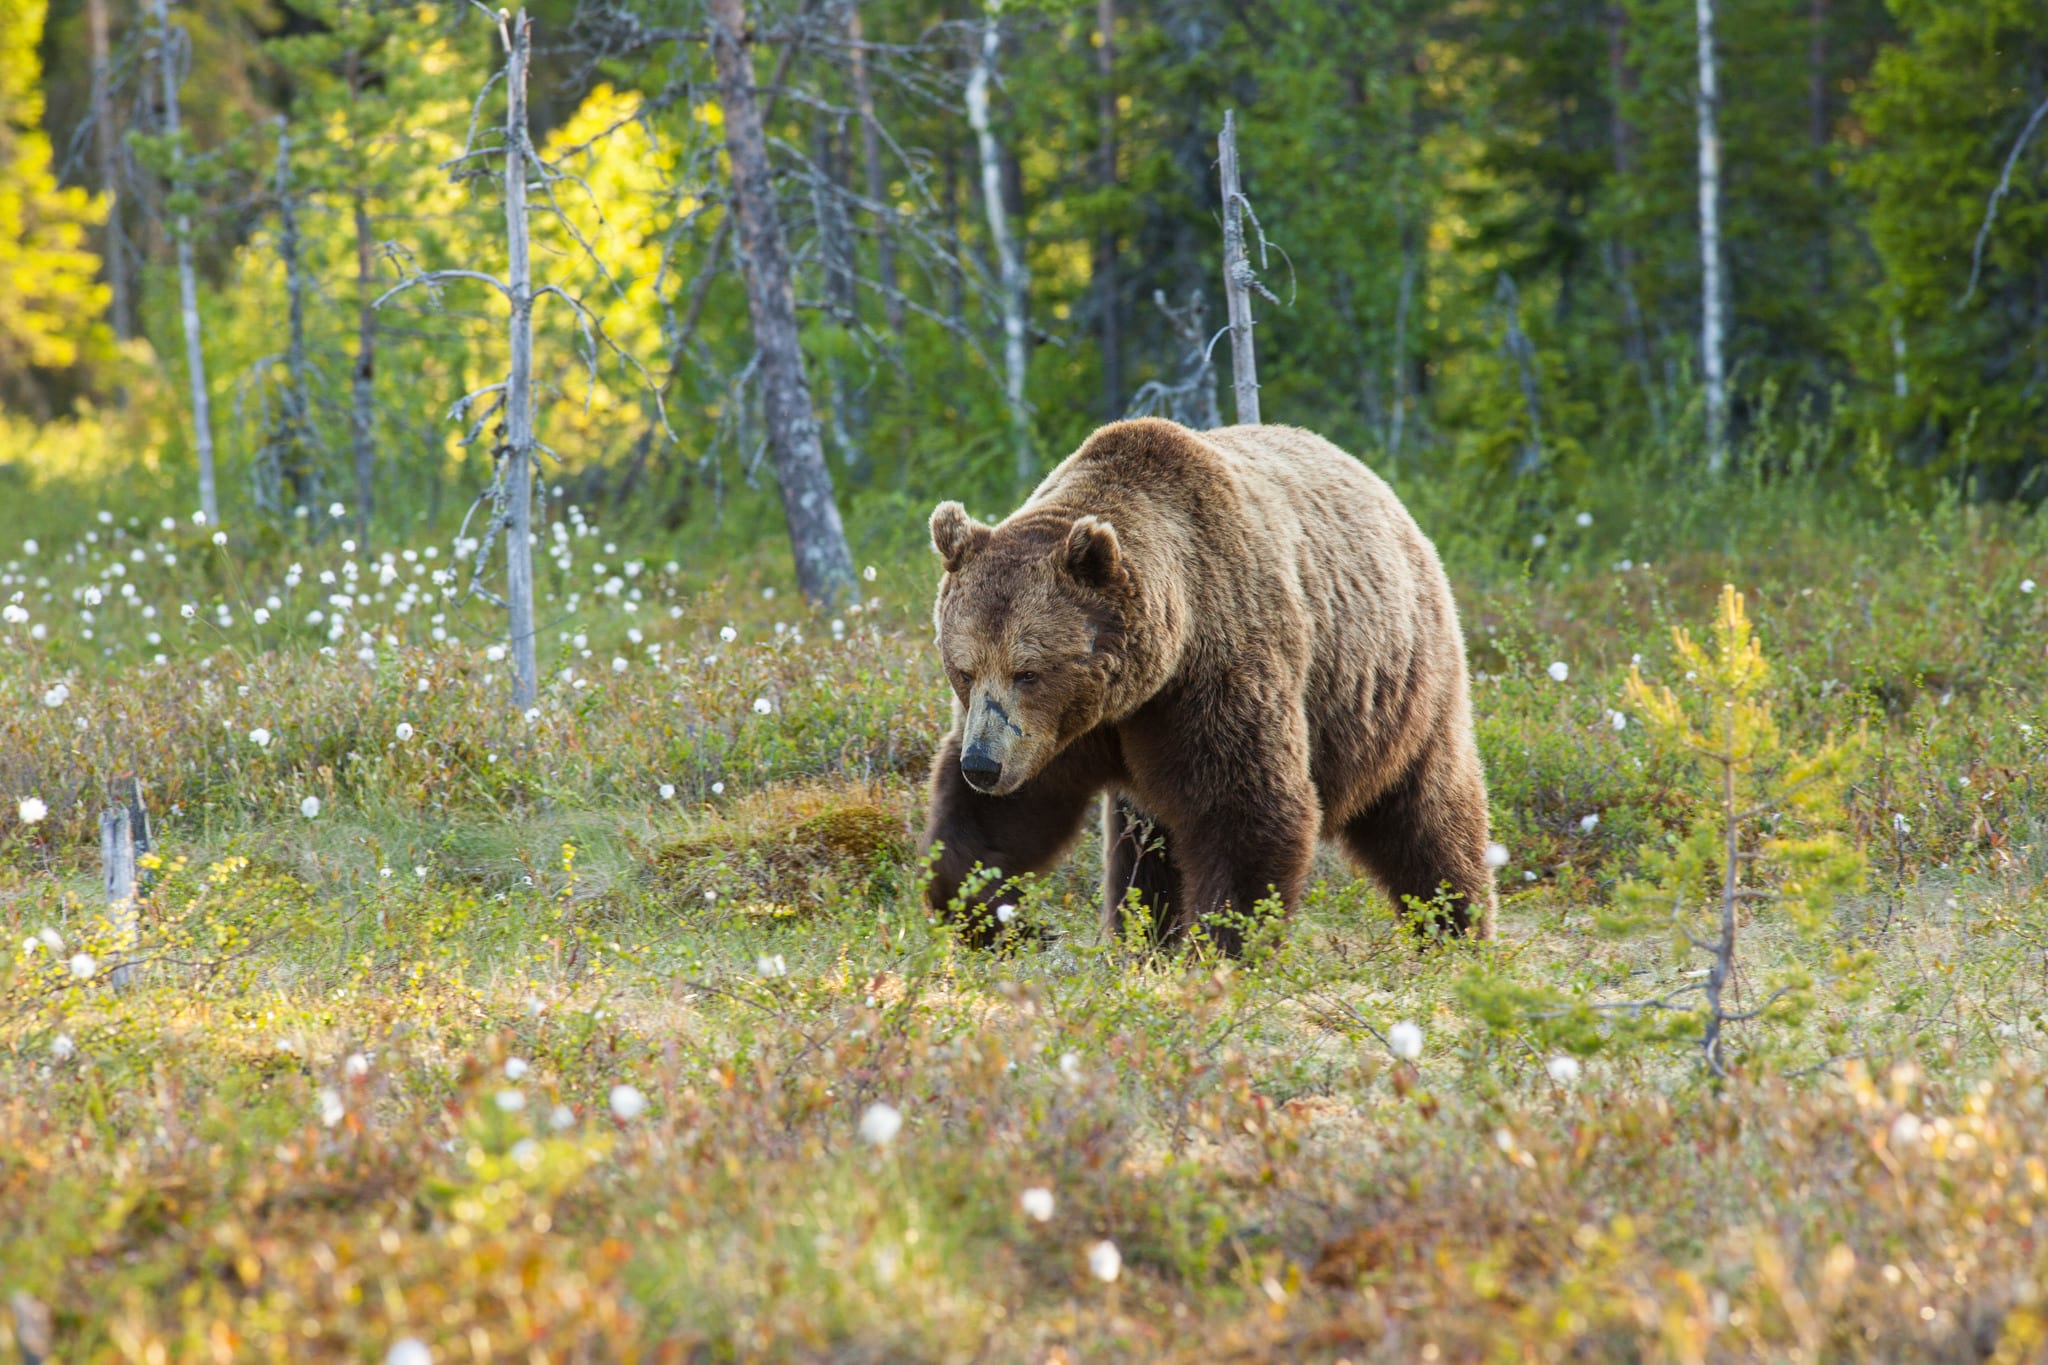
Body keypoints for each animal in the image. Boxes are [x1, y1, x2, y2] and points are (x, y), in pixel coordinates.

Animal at [921, 413, 1499, 949]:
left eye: (1029, 672)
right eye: (964, 669)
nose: (982, 765)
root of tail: (1389, 499)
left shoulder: (1214, 673)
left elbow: (1244, 808)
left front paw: (1221, 943)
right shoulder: (1065, 731)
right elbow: (1004, 817)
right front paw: (995, 916)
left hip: (1396, 692)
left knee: (1428, 815)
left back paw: (1455, 928)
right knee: (1146, 843)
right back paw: (1144, 938)